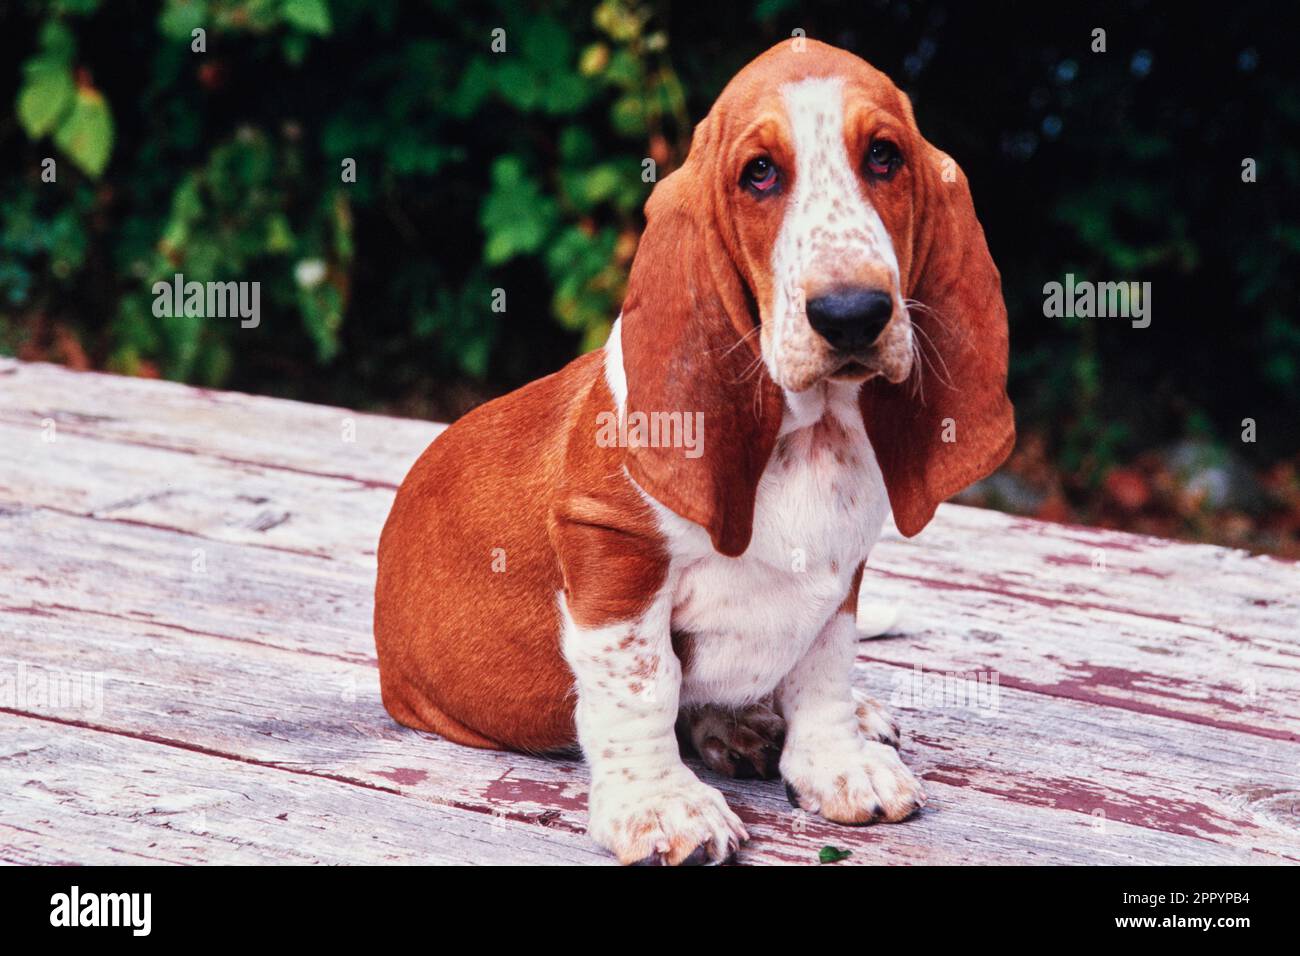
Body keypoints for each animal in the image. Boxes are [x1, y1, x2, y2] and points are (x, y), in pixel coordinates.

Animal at [377, 37, 1013, 863]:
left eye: (884, 156)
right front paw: (662, 805)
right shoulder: (614, 555)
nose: (852, 314)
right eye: (760, 173)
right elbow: (643, 687)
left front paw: (837, 761)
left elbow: (823, 667)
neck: (809, 433)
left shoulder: (842, 569)